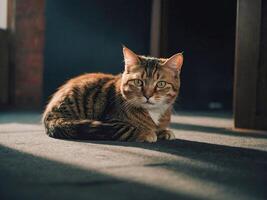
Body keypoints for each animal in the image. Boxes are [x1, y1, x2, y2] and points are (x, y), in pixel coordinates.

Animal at [43, 47, 184, 142]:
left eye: (161, 84)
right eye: (138, 82)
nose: (147, 95)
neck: (153, 112)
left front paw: (164, 131)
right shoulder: (112, 122)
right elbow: (130, 128)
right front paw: (147, 132)